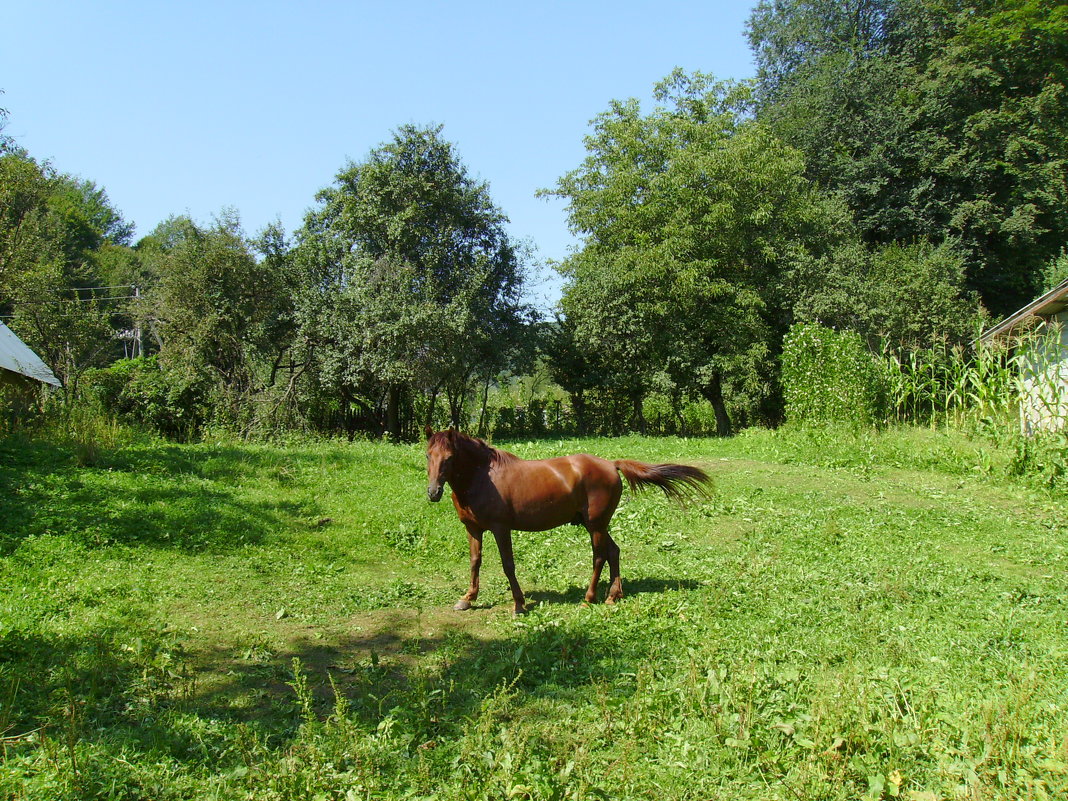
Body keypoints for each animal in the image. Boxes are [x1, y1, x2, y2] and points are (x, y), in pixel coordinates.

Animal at [422, 429, 709, 619]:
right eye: (428, 455)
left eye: (449, 457)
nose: (433, 492)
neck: (482, 477)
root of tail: (611, 464)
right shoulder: (473, 529)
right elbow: (474, 562)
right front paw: (467, 599)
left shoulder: (501, 528)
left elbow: (508, 565)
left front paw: (519, 604)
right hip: (597, 524)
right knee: (613, 551)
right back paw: (613, 596)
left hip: (595, 525)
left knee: (599, 556)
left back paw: (589, 599)